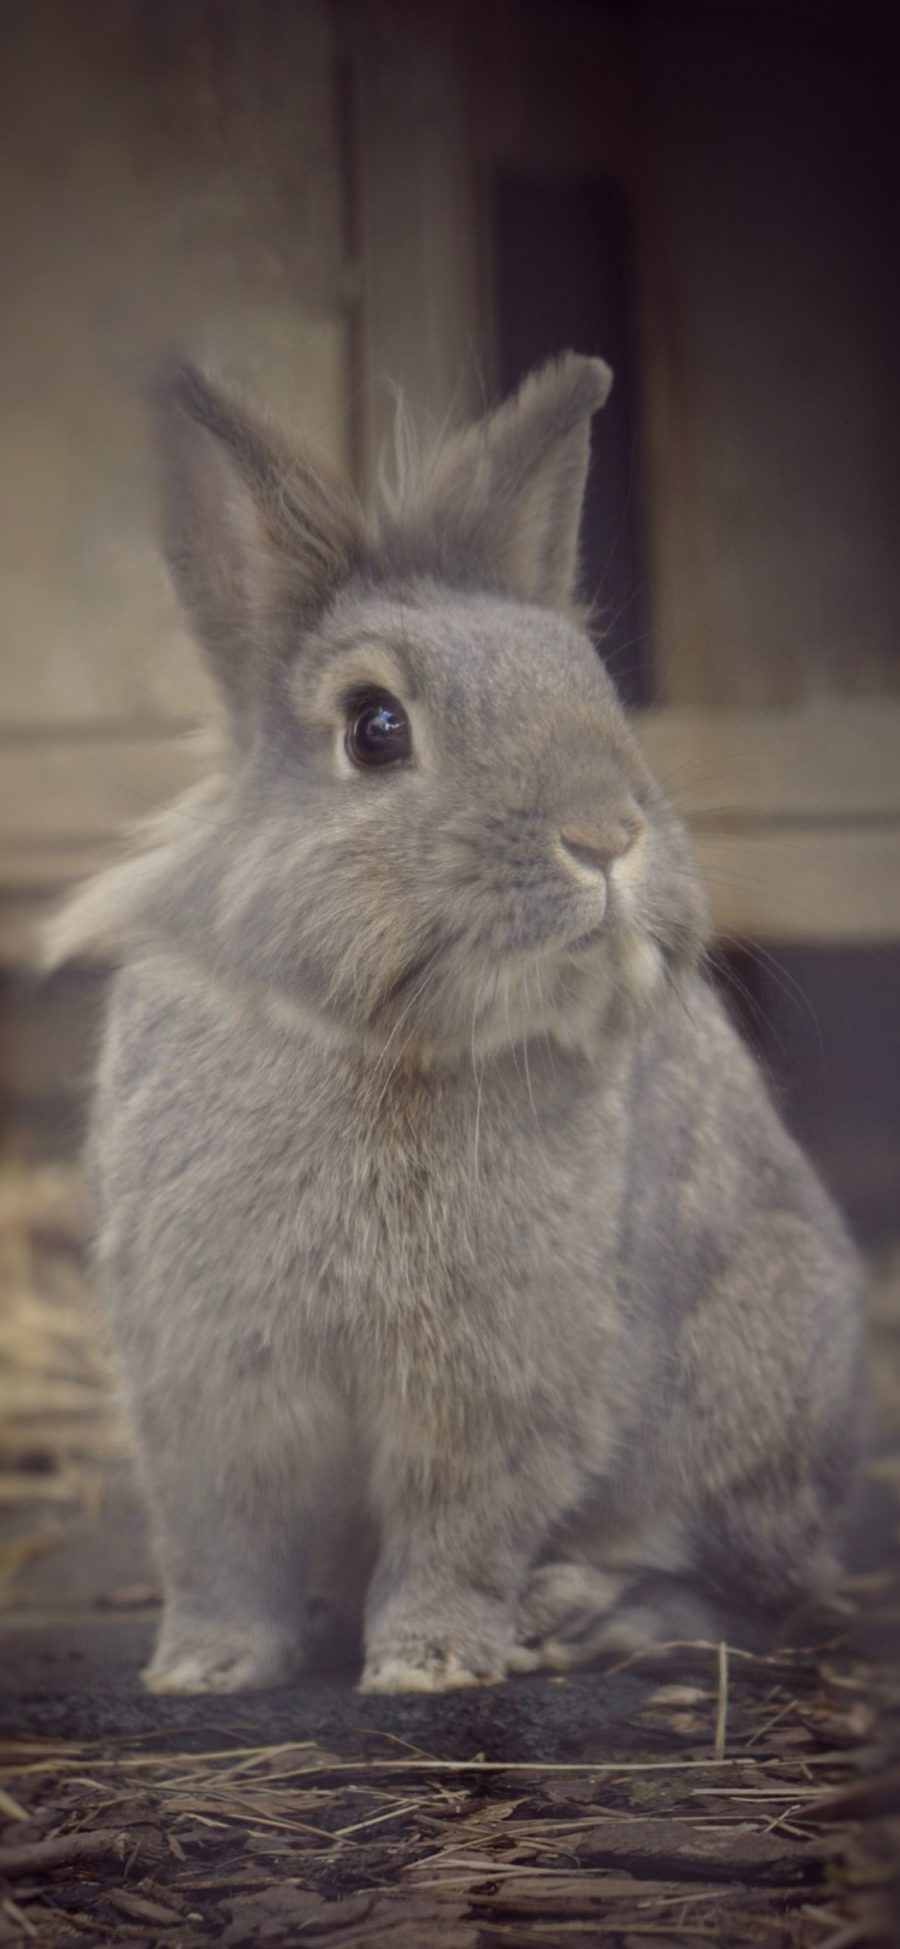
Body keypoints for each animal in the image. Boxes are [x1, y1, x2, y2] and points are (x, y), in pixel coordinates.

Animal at [49, 350, 864, 1691]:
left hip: (750, 1402)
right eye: (375, 727)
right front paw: (206, 1666)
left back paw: (577, 1613)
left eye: (596, 692)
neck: (380, 1036)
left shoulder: (496, 1376)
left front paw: (430, 1660)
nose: (607, 833)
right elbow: (224, 1538)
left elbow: (459, 1523)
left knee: (762, 1592)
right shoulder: (207, 1377)